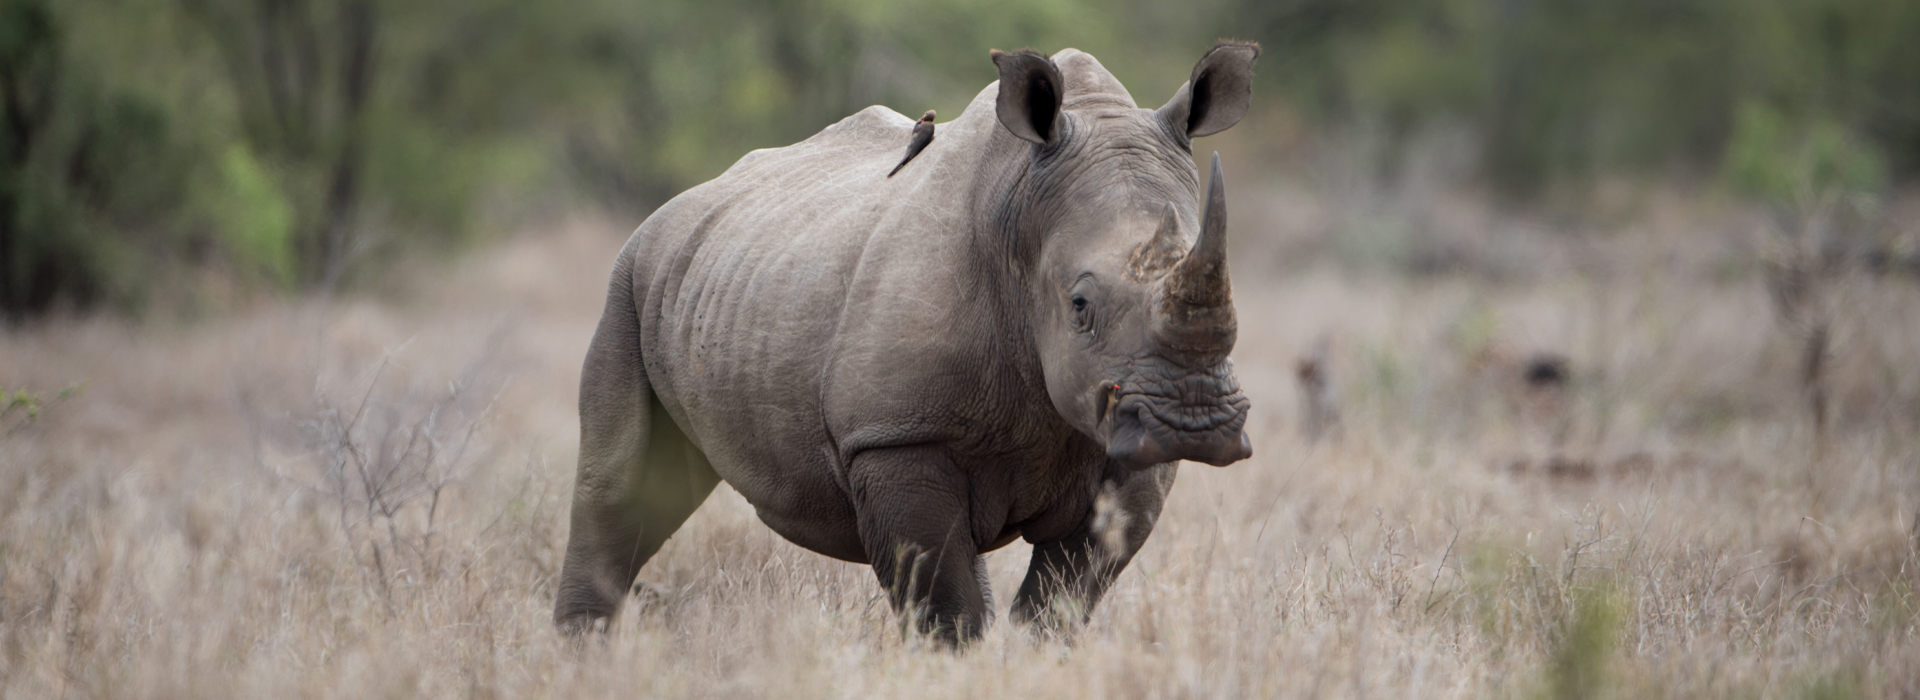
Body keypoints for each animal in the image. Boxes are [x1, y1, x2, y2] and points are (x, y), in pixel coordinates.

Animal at [556, 43, 1259, 644]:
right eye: (1080, 306)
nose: (1194, 422)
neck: (1018, 212)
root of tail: (675, 206)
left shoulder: (1127, 442)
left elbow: (1062, 598)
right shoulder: (895, 437)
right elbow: (943, 599)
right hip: (630, 277)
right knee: (620, 486)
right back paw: (582, 654)